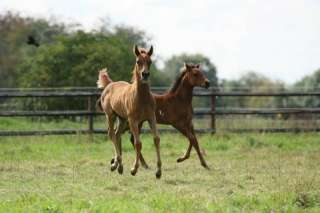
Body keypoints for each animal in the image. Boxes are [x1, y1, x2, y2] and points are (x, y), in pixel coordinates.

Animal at [97, 45, 162, 179]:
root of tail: (110, 84)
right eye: (138, 61)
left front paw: (158, 171)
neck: (141, 98)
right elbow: (138, 143)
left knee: (117, 134)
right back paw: (117, 165)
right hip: (110, 115)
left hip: (122, 119)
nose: (145, 74)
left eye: (150, 61)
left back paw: (118, 165)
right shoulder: (133, 121)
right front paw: (134, 169)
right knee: (111, 134)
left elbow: (156, 139)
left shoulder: (151, 118)